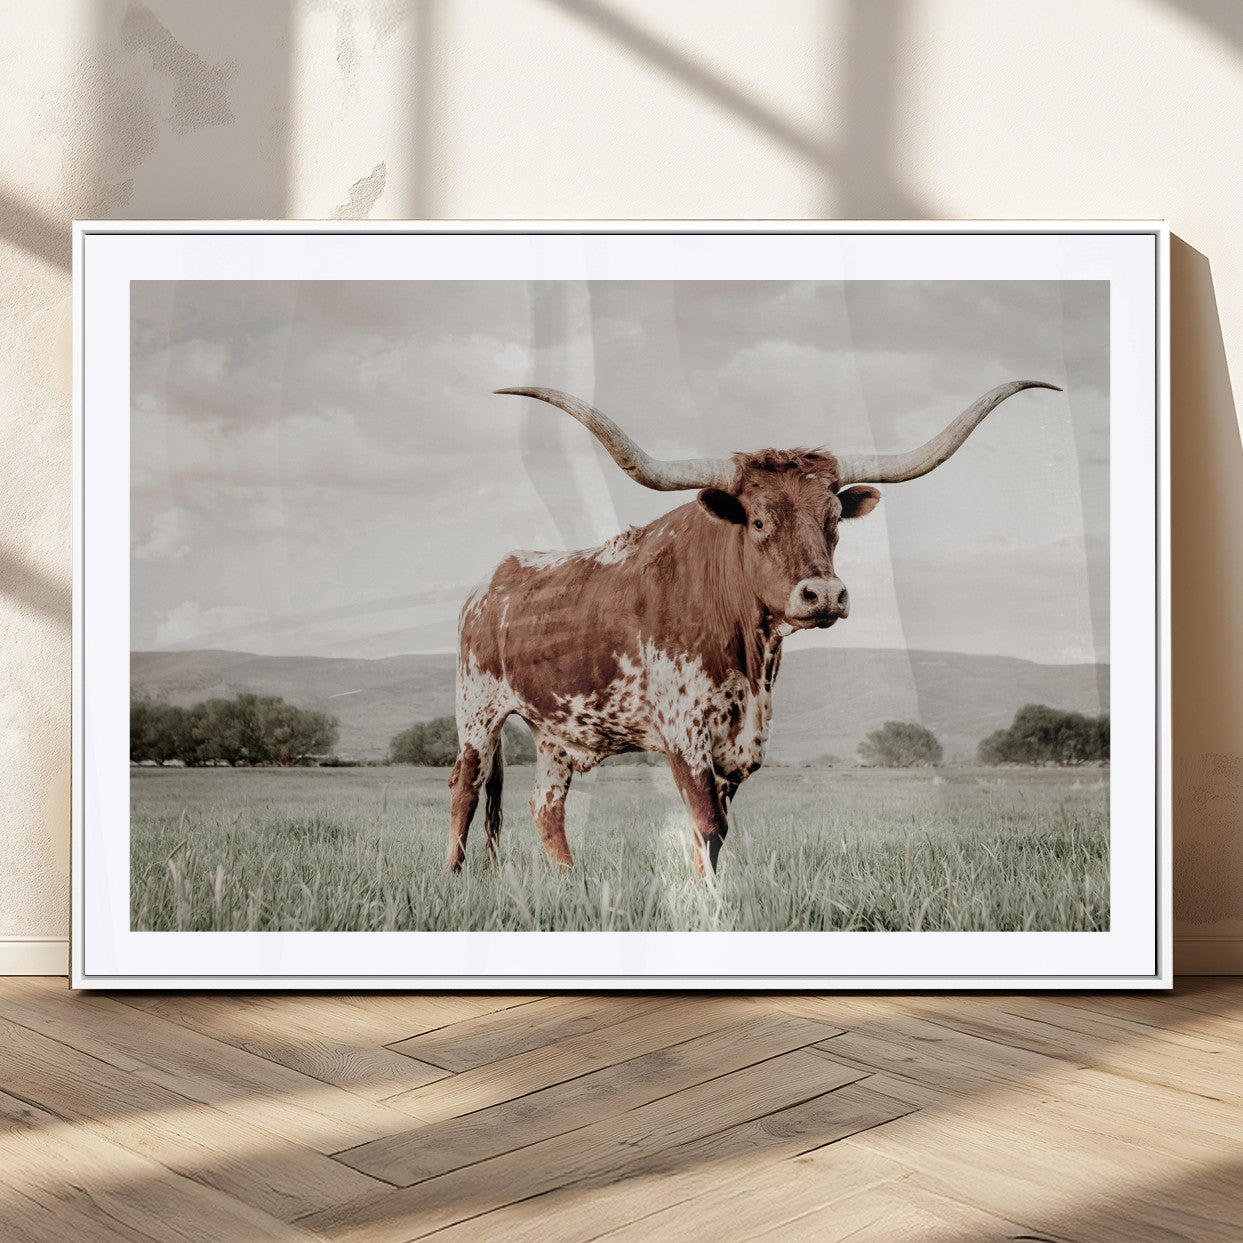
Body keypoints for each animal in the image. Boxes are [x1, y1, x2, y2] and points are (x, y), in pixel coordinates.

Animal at [446, 380, 1060, 875]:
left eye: (834, 520)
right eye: (760, 521)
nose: (824, 594)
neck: (749, 654)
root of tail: (487, 586)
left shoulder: (741, 745)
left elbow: (718, 834)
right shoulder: (684, 733)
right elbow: (705, 825)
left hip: (556, 733)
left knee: (545, 808)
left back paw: (569, 881)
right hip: (477, 713)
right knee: (464, 792)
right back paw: (454, 880)